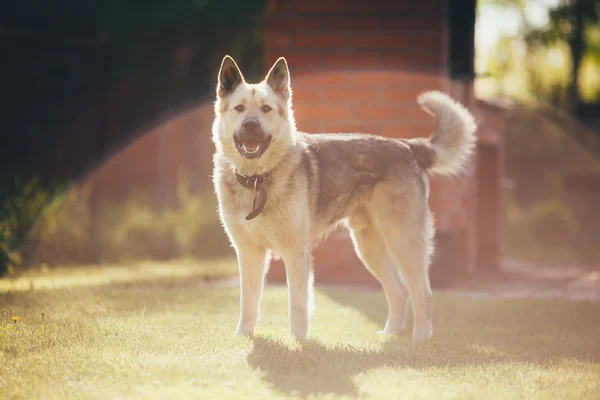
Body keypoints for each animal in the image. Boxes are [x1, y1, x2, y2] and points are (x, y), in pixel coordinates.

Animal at [213, 54, 476, 340]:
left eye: (266, 109)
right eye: (239, 108)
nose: (250, 125)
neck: (257, 179)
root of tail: (407, 146)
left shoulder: (296, 253)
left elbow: (298, 303)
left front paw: (297, 341)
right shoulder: (249, 253)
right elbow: (248, 302)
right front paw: (243, 337)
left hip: (403, 242)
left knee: (423, 294)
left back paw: (419, 339)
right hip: (369, 248)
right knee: (399, 292)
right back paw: (389, 336)